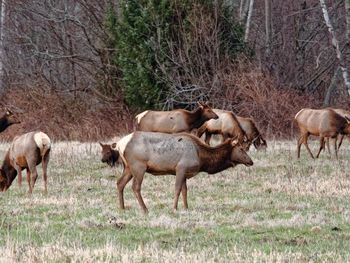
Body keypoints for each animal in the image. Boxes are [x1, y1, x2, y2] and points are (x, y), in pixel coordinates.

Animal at [115, 131, 254, 213]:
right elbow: (177, 189)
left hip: (128, 167)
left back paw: (122, 208)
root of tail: (119, 145)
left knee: (119, 182)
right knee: (135, 187)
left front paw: (186, 208)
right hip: (139, 165)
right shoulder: (181, 168)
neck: (201, 158)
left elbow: (184, 191)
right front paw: (175, 208)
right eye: (241, 149)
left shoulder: (186, 172)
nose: (251, 161)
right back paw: (145, 209)